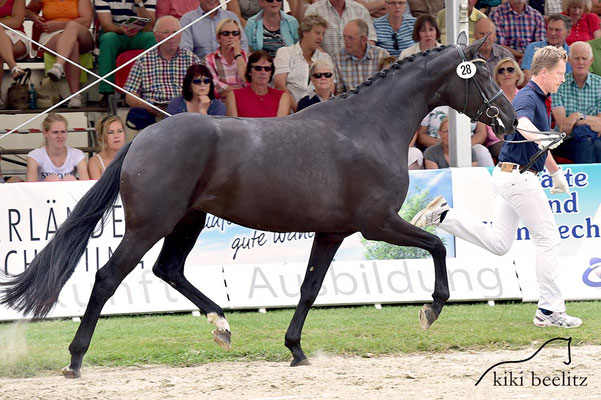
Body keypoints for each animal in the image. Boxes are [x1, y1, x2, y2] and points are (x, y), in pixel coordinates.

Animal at [0, 35, 516, 378]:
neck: (369, 126)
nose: (509, 121)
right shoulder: (377, 224)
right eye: (482, 73)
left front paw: (296, 350)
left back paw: (222, 325)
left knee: (169, 270)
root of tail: (143, 138)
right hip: (150, 226)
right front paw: (431, 310)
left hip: (188, 221)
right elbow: (437, 246)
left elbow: (309, 288)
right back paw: (75, 360)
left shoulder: (333, 232)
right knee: (108, 278)